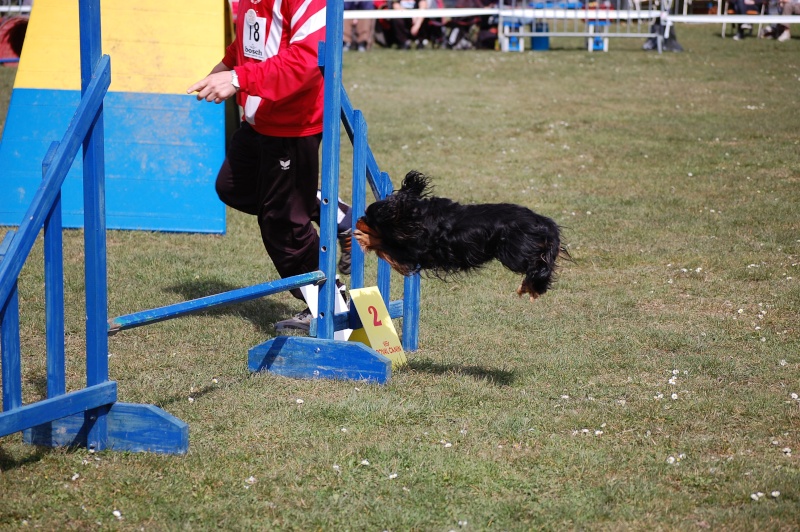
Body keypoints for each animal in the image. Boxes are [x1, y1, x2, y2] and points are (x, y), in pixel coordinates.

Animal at [354, 172, 564, 302]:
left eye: (368, 217)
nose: (357, 220)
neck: (414, 215)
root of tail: (541, 220)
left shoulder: (414, 253)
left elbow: (384, 246)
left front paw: (363, 238)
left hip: (514, 254)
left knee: (539, 263)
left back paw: (532, 285)